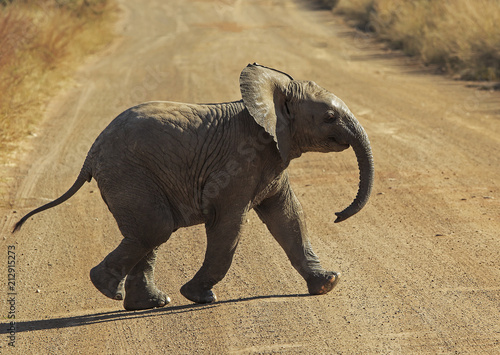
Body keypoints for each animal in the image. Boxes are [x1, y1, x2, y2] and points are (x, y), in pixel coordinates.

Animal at [13, 64, 374, 312]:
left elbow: (288, 218)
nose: (337, 215)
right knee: (155, 228)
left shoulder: (273, 156)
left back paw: (149, 303)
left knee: (149, 232)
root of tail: (92, 151)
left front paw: (328, 284)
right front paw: (199, 296)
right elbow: (229, 225)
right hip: (128, 172)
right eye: (329, 117)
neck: (271, 96)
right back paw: (108, 289)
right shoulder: (239, 163)